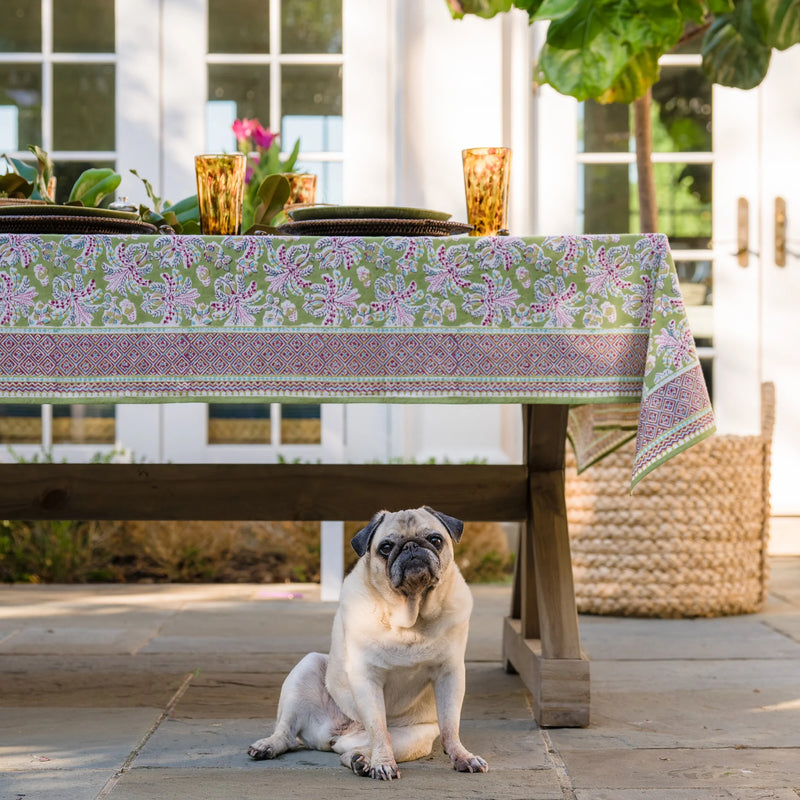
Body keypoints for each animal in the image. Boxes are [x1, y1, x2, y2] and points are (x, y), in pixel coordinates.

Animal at [248, 506, 488, 780]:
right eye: (386, 547)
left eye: (436, 540)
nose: (411, 546)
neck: (410, 617)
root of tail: (337, 735)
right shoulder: (366, 678)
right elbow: (378, 728)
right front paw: (383, 764)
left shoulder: (450, 674)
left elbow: (450, 725)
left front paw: (462, 756)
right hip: (305, 670)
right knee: (288, 733)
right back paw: (268, 746)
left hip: (414, 738)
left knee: (354, 751)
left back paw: (360, 759)